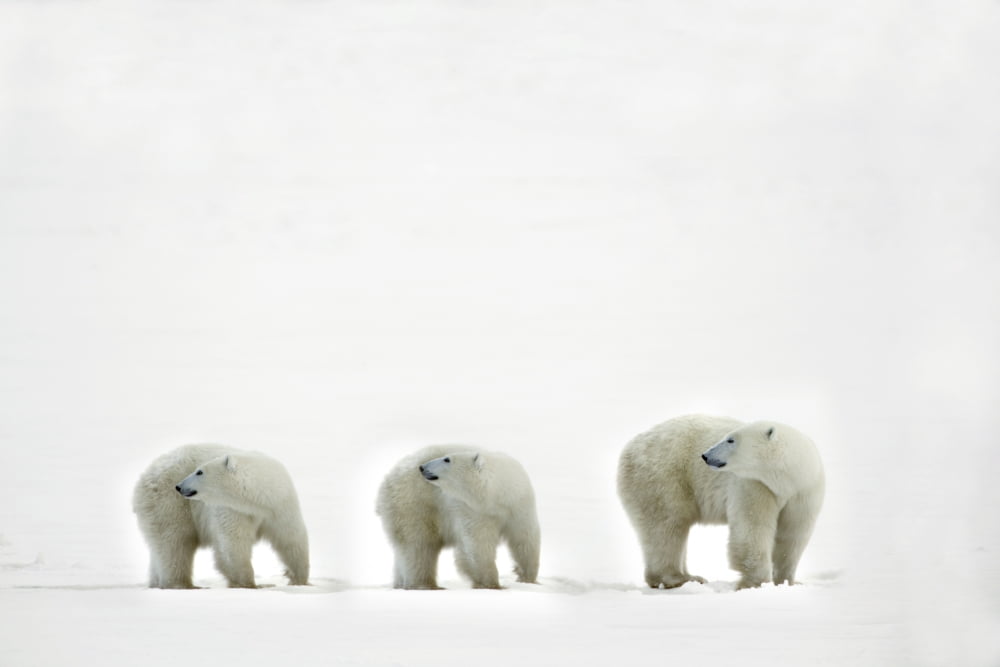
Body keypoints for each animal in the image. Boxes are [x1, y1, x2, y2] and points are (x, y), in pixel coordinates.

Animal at [133, 444, 310, 589]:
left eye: (199, 471)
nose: (179, 486)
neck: (261, 498)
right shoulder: (232, 509)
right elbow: (232, 543)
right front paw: (249, 584)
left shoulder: (281, 507)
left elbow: (290, 539)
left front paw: (299, 580)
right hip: (167, 503)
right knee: (174, 541)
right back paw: (182, 584)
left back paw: (157, 582)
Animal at [375, 445, 541, 590]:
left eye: (447, 459)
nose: (422, 467)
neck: (497, 497)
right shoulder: (472, 510)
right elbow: (478, 544)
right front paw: (491, 584)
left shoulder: (519, 505)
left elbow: (524, 538)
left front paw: (527, 578)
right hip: (413, 503)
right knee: (418, 544)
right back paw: (425, 585)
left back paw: (401, 584)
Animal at [617, 415, 824, 590]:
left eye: (730, 440)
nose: (705, 455)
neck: (787, 479)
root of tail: (630, 446)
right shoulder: (754, 485)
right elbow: (752, 529)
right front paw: (756, 583)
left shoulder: (804, 492)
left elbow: (792, 535)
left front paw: (788, 582)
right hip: (661, 477)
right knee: (666, 526)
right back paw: (677, 578)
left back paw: (689, 576)